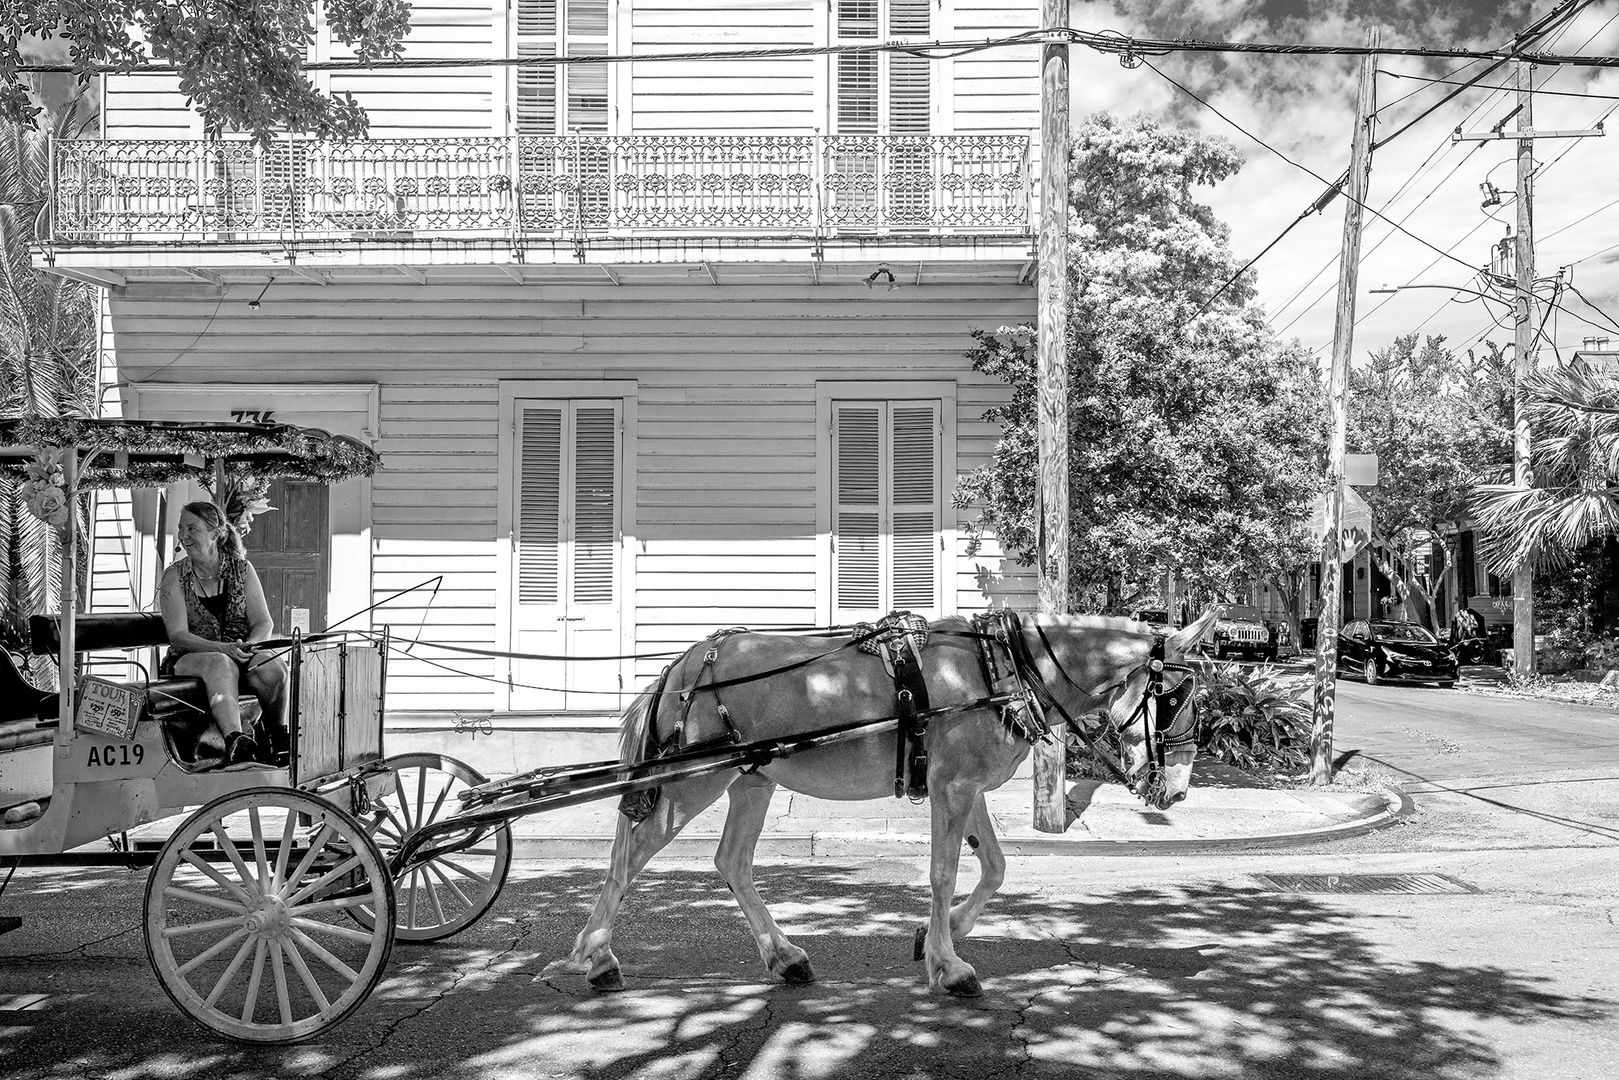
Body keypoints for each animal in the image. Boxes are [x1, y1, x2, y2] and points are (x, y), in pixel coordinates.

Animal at [563, 612, 1211, 1003]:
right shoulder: (953, 787)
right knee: (628, 857)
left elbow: (994, 868)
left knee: (732, 862)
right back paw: (598, 958)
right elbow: (944, 872)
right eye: (1176, 697)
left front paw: (937, 935)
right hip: (693, 782)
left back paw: (785, 957)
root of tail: (685, 661)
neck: (1003, 669)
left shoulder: (966, 786)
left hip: (754, 780)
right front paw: (950, 967)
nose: (1179, 790)